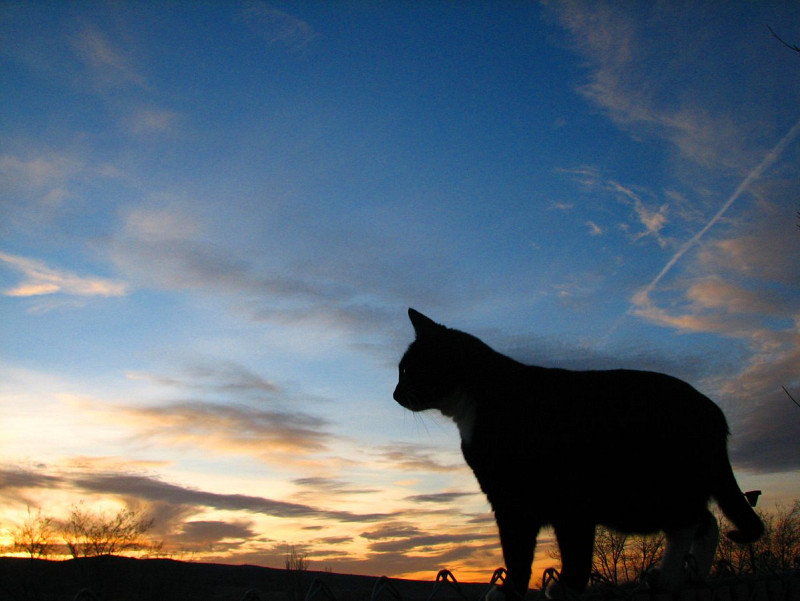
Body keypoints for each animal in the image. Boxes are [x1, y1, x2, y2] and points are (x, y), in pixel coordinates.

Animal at [394, 312, 764, 596]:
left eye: (407, 370)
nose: (395, 393)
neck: (475, 402)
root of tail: (714, 413)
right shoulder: (519, 502)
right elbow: (527, 554)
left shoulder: (547, 501)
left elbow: (542, 553)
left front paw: (554, 589)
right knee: (706, 519)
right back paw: (690, 574)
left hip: (650, 490)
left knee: (691, 520)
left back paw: (669, 576)